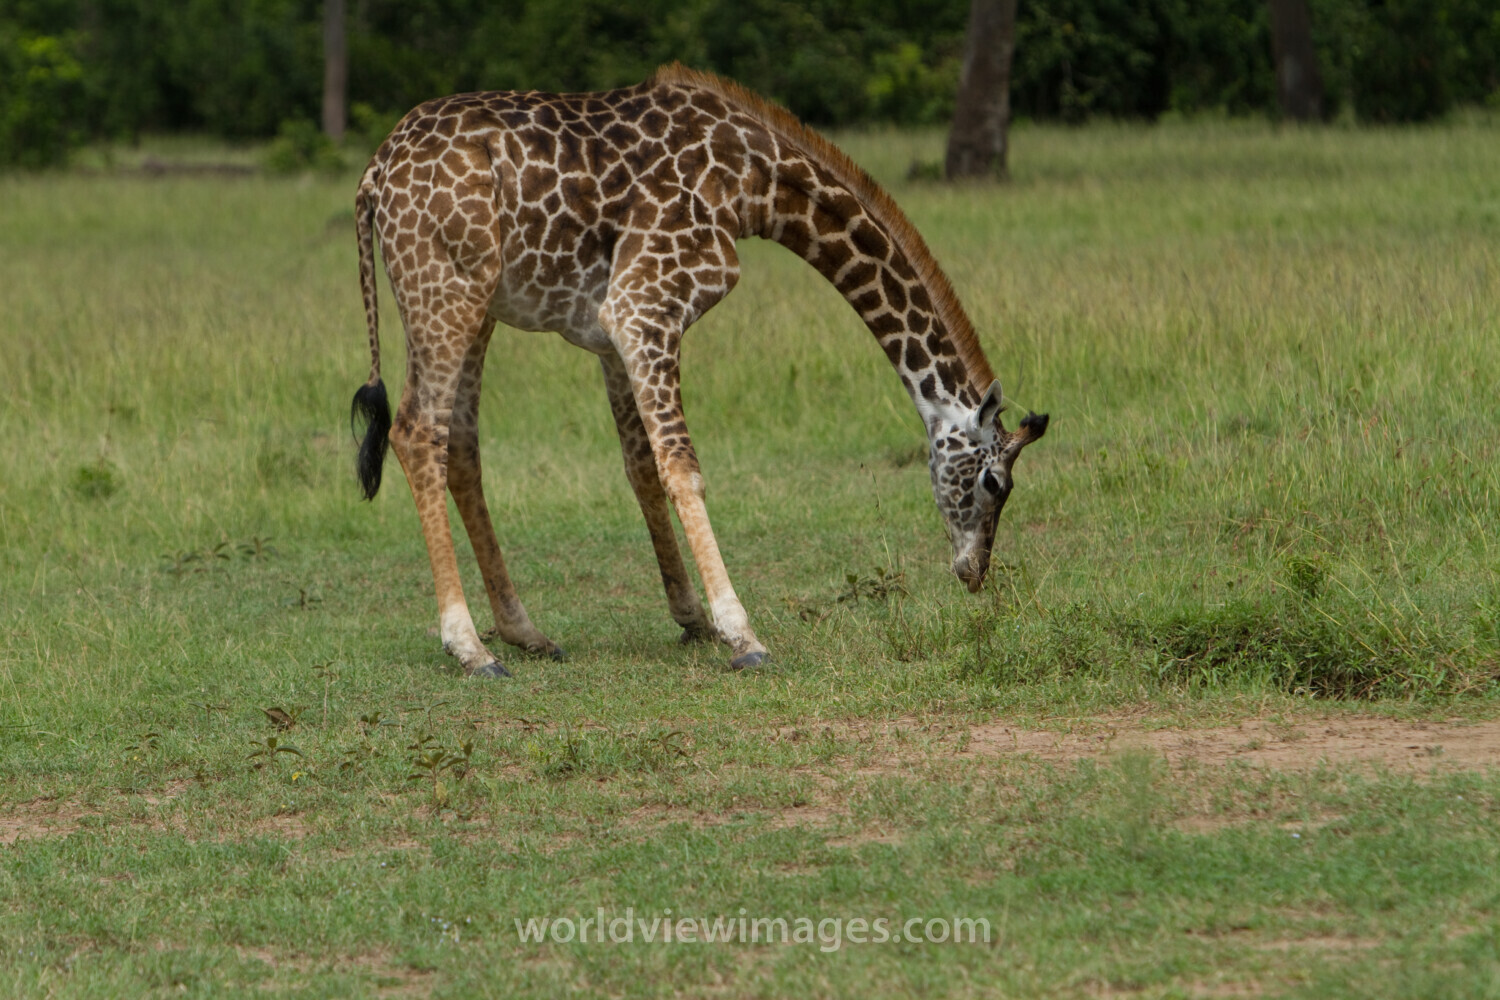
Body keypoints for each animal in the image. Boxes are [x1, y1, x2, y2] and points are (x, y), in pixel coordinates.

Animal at [350, 63, 1048, 678]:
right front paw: (741, 632)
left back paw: (524, 632)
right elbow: (682, 468)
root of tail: (374, 176)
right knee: (417, 431)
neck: (755, 183)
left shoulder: (611, 334)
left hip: (475, 304)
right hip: (448, 291)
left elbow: (641, 467)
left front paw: (691, 617)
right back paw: (470, 647)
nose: (973, 572)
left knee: (460, 444)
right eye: (994, 484)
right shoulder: (643, 307)